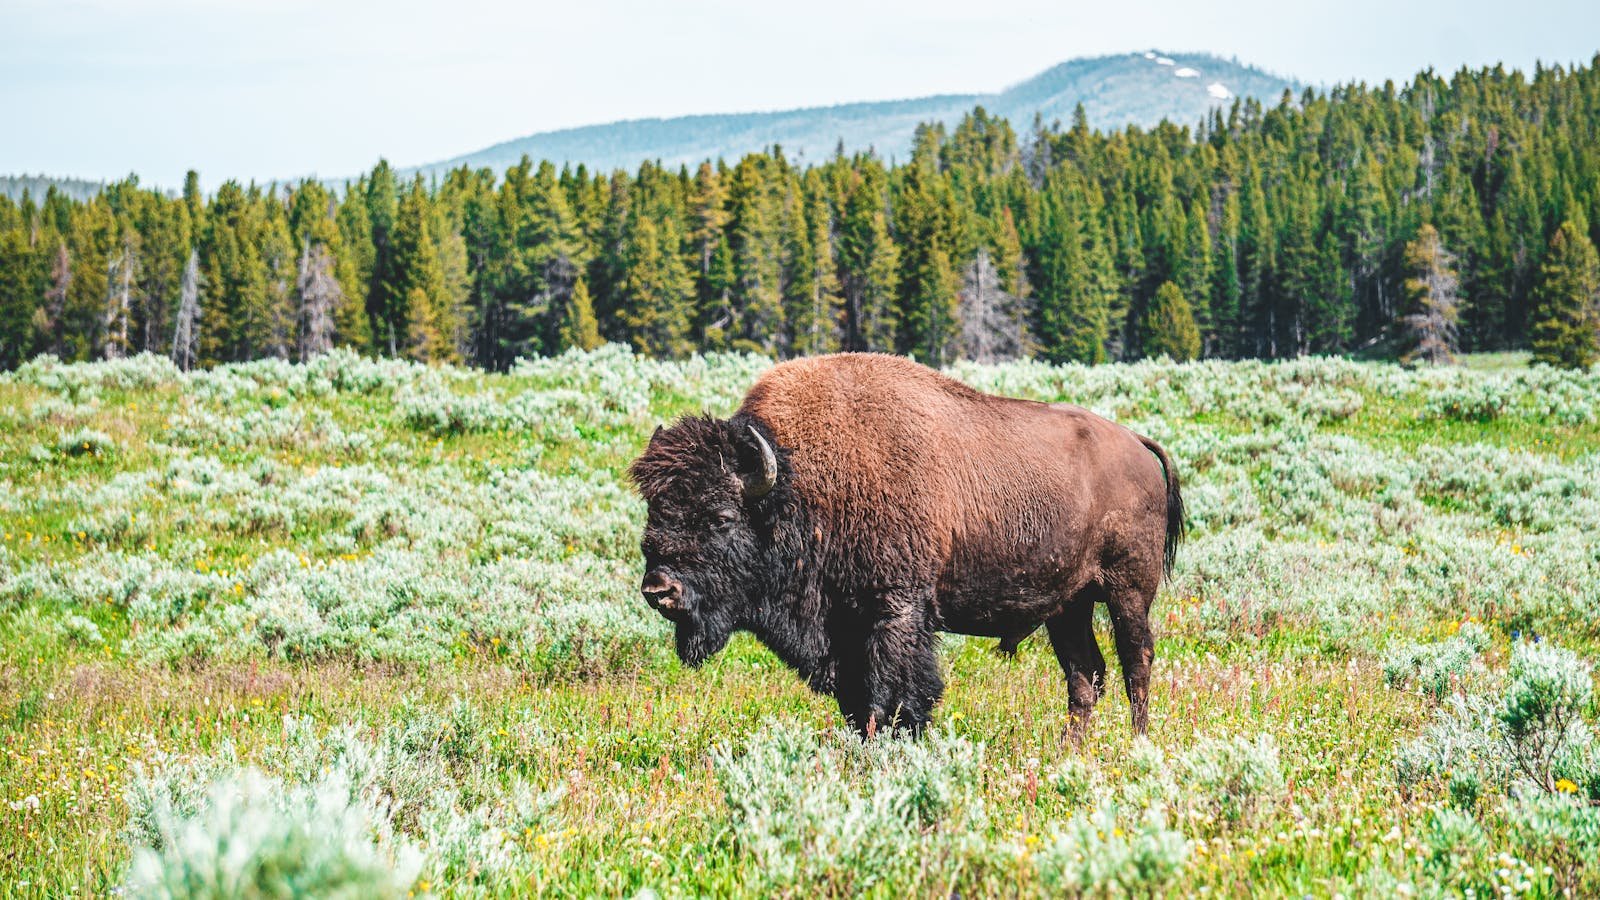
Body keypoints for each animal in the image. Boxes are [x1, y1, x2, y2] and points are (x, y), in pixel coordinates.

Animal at [629, 353, 1182, 739]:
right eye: (654, 512)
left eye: (721, 518)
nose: (659, 590)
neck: (797, 484)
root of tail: (1136, 442)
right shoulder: (845, 632)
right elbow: (858, 703)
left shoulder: (895, 611)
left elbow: (894, 695)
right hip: (1068, 606)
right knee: (1084, 675)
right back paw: (1073, 749)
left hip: (1127, 591)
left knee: (1136, 661)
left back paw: (1138, 744)